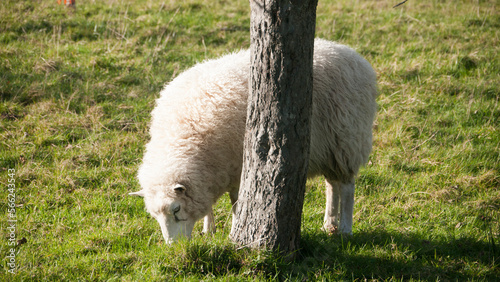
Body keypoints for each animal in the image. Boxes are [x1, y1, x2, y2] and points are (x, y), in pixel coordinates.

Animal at [131, 38, 376, 243]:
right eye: (154, 215)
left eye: (176, 210)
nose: (174, 246)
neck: (183, 135)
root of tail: (353, 55)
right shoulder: (214, 170)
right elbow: (210, 202)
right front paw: (208, 228)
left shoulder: (239, 167)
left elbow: (236, 204)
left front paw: (233, 231)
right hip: (329, 150)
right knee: (332, 185)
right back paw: (329, 224)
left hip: (346, 140)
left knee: (347, 187)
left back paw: (344, 229)